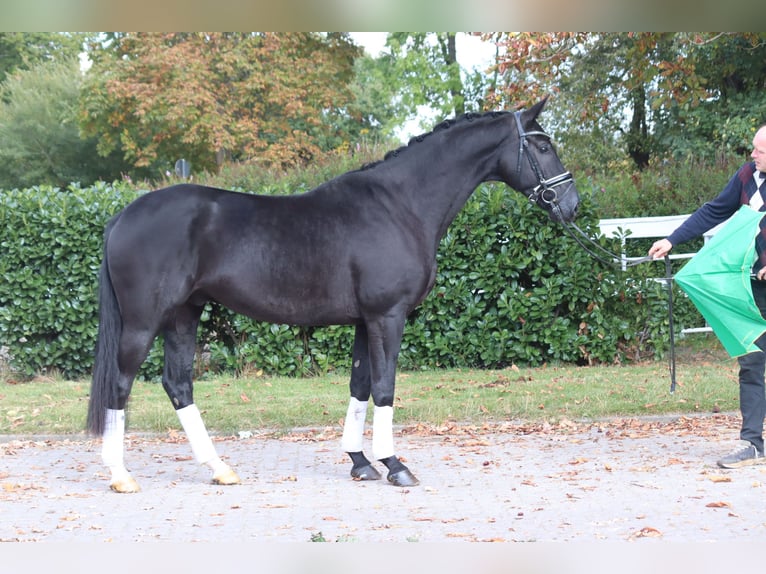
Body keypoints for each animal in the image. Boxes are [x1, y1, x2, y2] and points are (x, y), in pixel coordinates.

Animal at [86, 98, 579, 493]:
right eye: (542, 146)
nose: (570, 205)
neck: (399, 205)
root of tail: (122, 216)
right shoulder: (387, 315)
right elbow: (384, 388)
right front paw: (395, 464)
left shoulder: (365, 320)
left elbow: (360, 386)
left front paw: (360, 462)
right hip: (143, 322)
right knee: (121, 384)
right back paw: (121, 475)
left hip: (184, 315)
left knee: (178, 384)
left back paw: (219, 468)